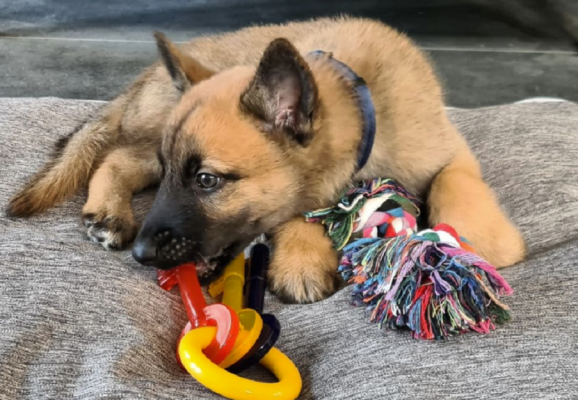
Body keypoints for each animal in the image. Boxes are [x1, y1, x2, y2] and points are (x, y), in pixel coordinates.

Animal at [6, 16, 524, 304]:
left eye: (207, 181)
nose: (142, 255)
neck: (361, 103)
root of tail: (145, 77)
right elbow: (297, 210)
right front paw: (301, 257)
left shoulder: (450, 148)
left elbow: (454, 181)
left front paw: (475, 243)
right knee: (114, 157)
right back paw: (109, 212)